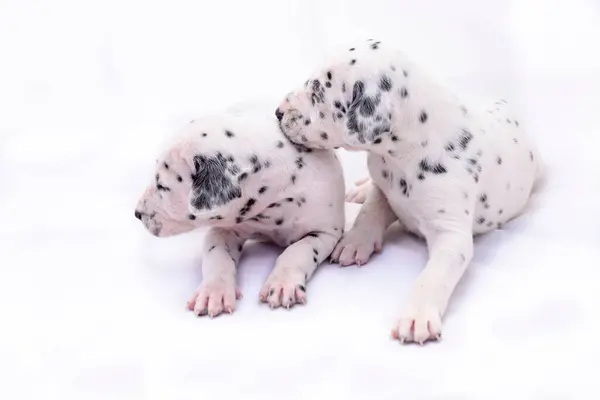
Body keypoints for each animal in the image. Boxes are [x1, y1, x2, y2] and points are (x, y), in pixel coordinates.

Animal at [134, 104, 344, 318]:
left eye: (161, 186)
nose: (137, 213)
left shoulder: (324, 232)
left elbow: (298, 250)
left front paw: (282, 283)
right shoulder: (221, 230)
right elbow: (217, 256)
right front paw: (213, 290)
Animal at [276, 39, 544, 344]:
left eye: (318, 91)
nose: (278, 111)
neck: (400, 157)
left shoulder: (451, 236)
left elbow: (432, 276)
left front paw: (417, 316)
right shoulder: (384, 186)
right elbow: (370, 210)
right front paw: (354, 242)